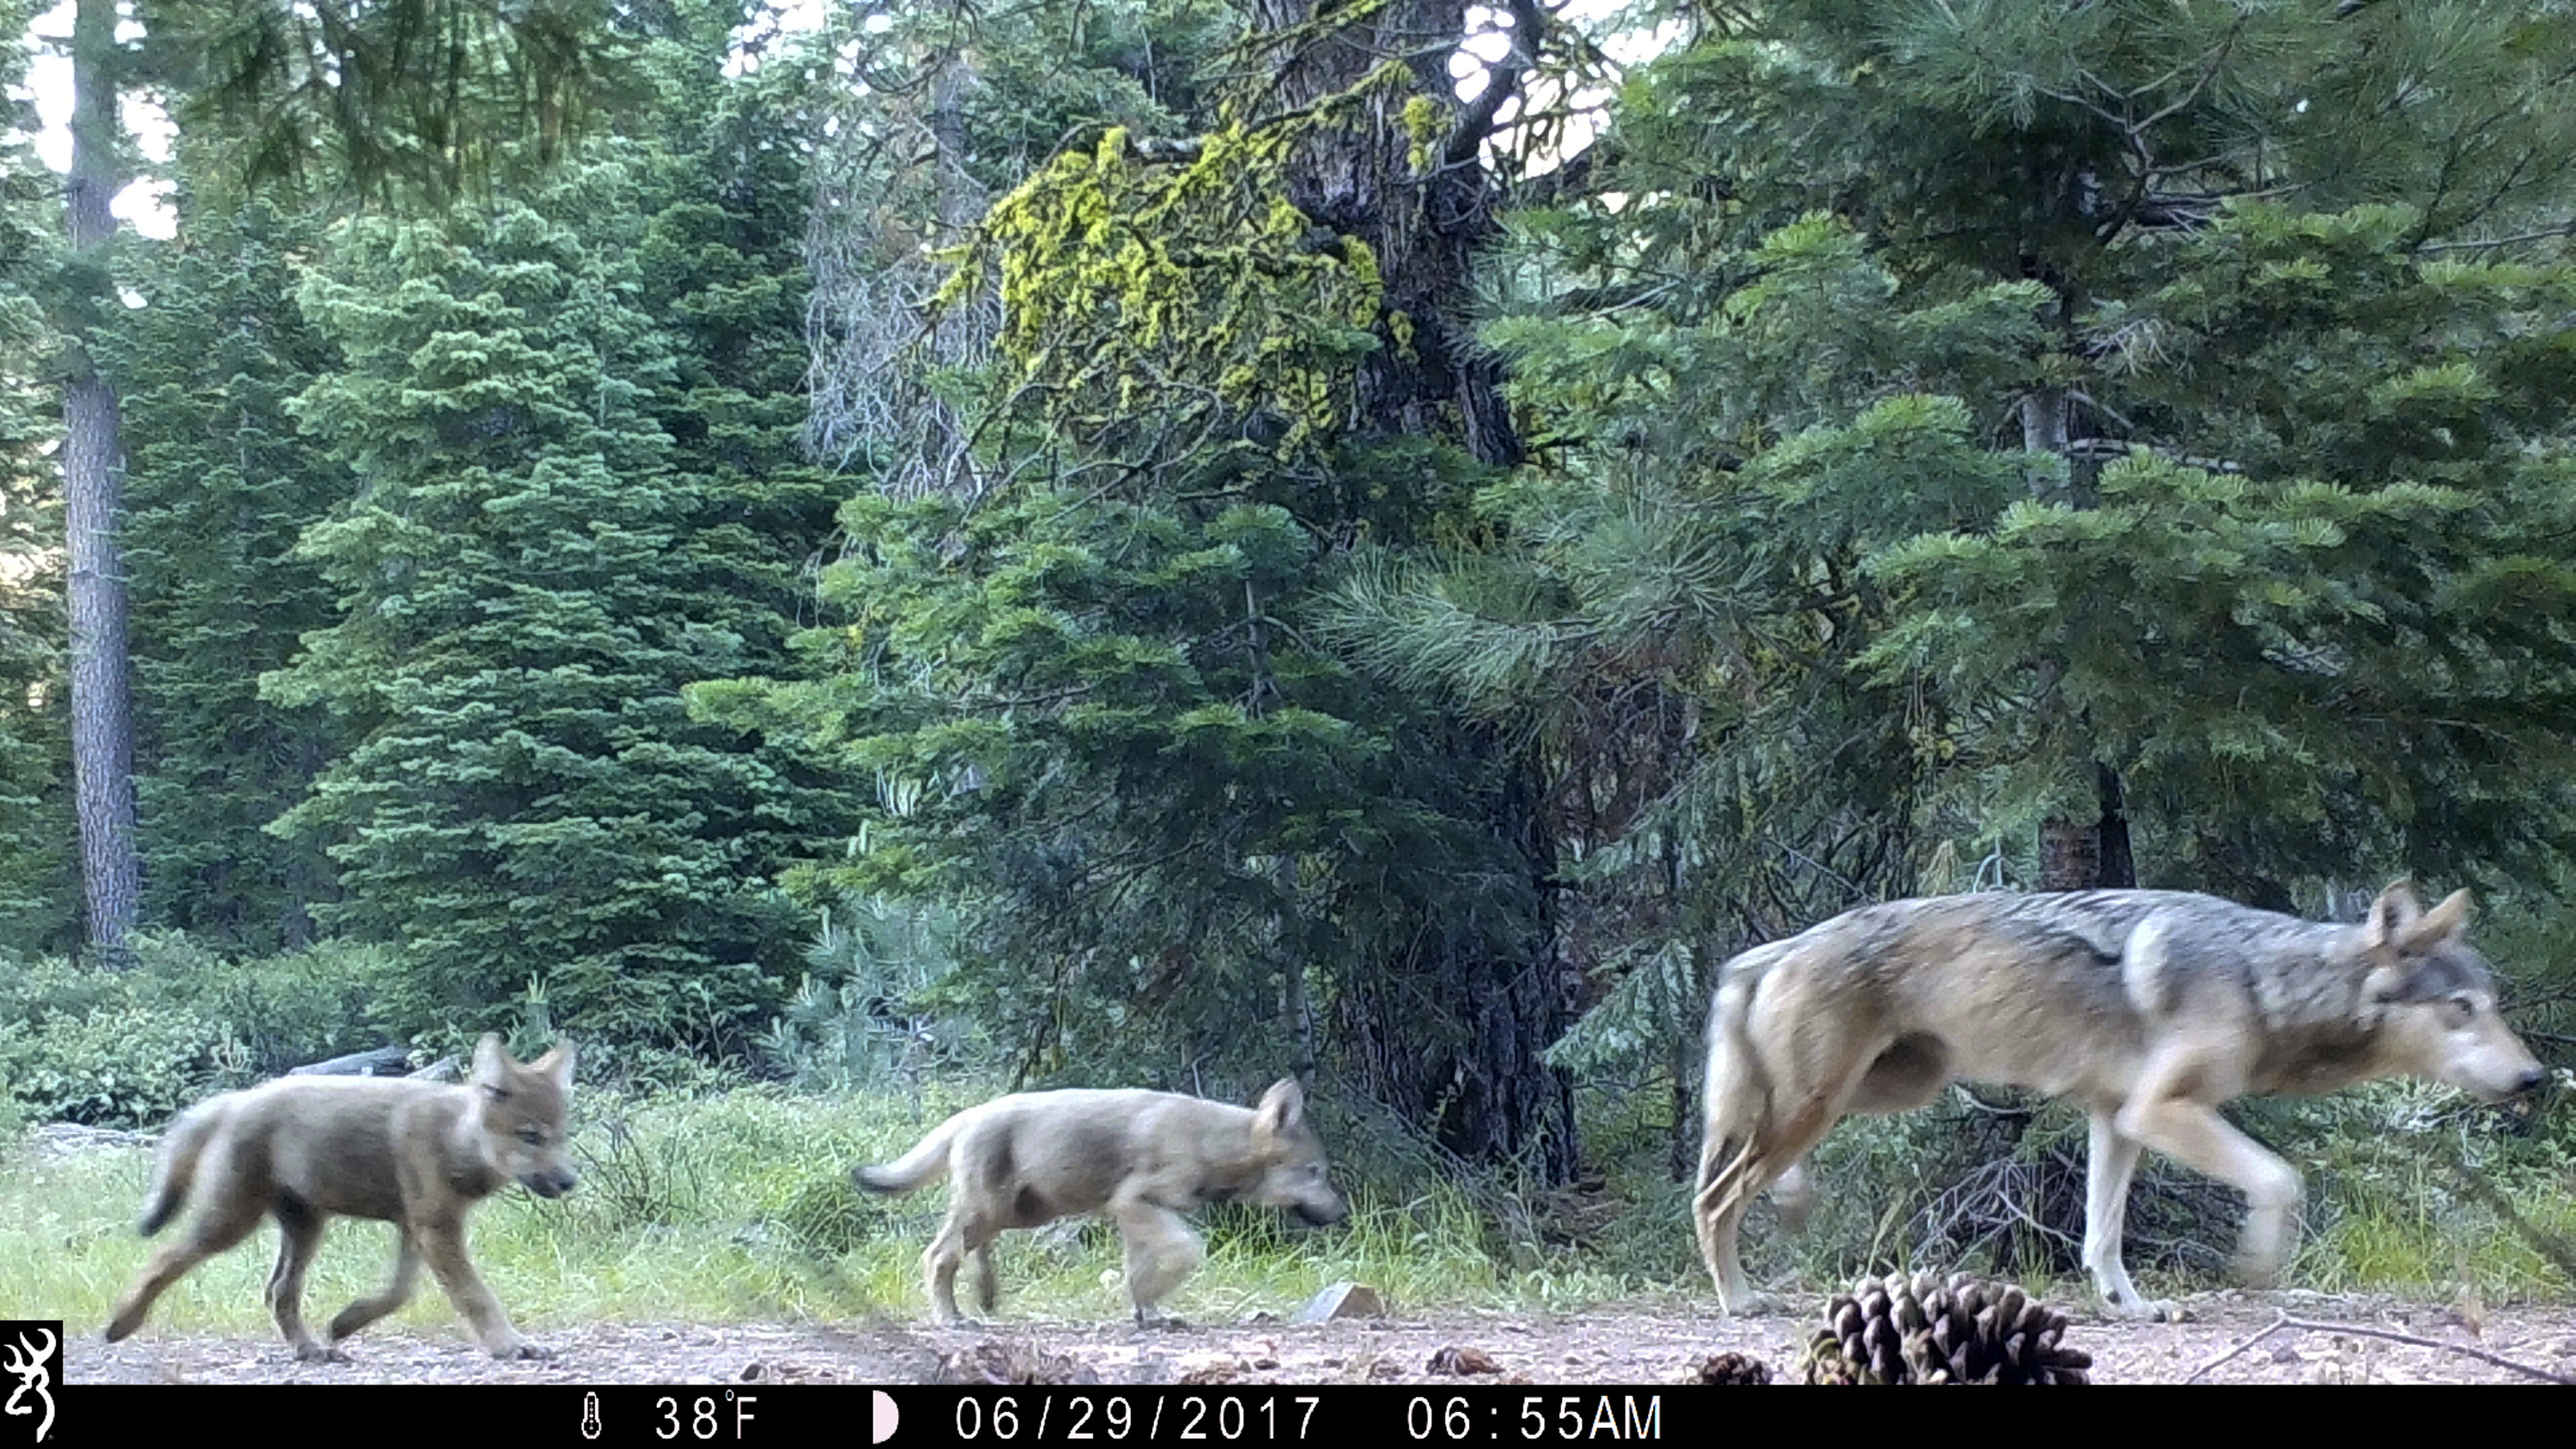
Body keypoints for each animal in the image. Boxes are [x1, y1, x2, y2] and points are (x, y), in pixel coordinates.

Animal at [101, 1040, 580, 1369]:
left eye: (562, 1137)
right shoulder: (435, 1228)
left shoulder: (415, 1228)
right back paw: (121, 1324)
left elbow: (398, 1293)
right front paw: (511, 1345)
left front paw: (346, 1323)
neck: (454, 1138)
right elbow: (476, 1297)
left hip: (306, 1228)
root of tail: (236, 1099)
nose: (569, 1181)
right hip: (230, 1224)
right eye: (530, 1136)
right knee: (164, 1257)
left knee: (277, 1291)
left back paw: (311, 1350)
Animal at [860, 1076, 1350, 1328]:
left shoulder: (1133, 1216)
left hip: (1015, 1214)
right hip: (993, 1211)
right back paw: (952, 1318)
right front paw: (1150, 1305)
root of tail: (967, 1114)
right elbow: (1187, 1250)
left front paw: (1149, 1314)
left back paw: (985, 1297)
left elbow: (1138, 1274)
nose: (1343, 1213)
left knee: (970, 1251)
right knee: (938, 1255)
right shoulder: (1133, 1203)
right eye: (1316, 1173)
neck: (1212, 1144)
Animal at [1690, 880, 2555, 1318]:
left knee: (1748, 1172)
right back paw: (1739, 1299)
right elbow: (2282, 1179)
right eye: (2460, 1010)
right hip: (1822, 1104)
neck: (2265, 983)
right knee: (1716, 1197)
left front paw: (2128, 1307)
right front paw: (2257, 1267)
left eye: (2494, 1005)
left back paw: (1789, 1206)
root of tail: (1772, 949)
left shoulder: (2117, 1118)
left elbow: (2101, 1236)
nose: (2536, 1080)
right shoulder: (2160, 1111)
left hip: (1885, 1092)